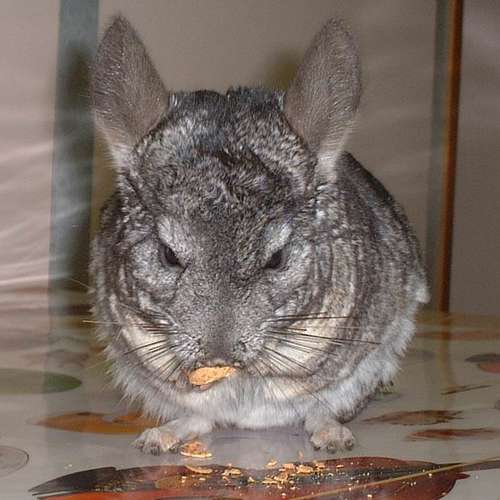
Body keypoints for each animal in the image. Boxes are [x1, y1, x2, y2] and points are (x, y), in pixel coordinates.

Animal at [90, 16, 429, 455]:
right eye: (168, 255)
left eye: (277, 259)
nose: (219, 352)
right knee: (200, 419)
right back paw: (159, 437)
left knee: (319, 413)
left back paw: (334, 437)